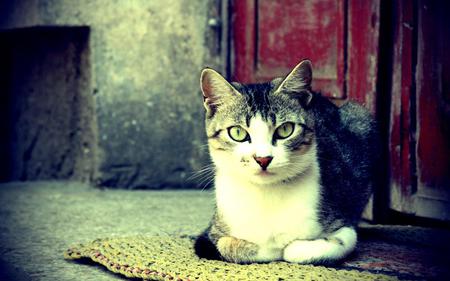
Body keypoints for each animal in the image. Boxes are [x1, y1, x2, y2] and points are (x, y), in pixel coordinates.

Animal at [194, 60, 380, 264]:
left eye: (285, 130)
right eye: (237, 132)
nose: (263, 158)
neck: (266, 193)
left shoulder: (344, 223)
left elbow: (304, 249)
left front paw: (289, 247)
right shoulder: (209, 235)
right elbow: (229, 245)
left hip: (361, 117)